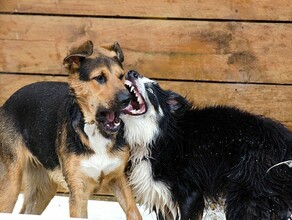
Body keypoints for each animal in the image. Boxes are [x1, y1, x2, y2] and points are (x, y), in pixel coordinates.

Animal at [0, 40, 141, 219]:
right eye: (99, 78)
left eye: (121, 76)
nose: (127, 99)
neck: (94, 131)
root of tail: (7, 103)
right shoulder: (78, 189)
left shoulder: (120, 178)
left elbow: (134, 212)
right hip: (11, 182)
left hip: (43, 188)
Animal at [120, 70, 292, 220]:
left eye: (151, 90)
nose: (132, 72)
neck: (155, 137)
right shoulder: (160, 196)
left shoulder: (190, 192)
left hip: (248, 191)